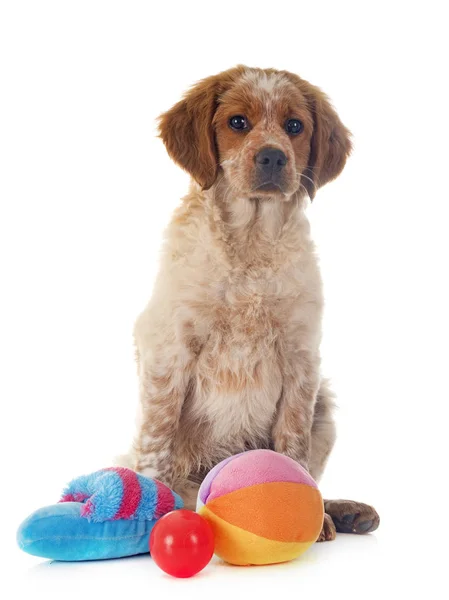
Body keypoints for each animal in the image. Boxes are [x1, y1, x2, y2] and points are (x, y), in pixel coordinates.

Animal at [125, 65, 378, 540]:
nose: (273, 158)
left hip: (325, 408)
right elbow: (157, 439)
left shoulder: (300, 356)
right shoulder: (170, 349)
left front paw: (309, 518)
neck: (251, 242)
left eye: (294, 126)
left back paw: (343, 512)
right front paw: (149, 515)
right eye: (237, 122)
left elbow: (293, 446)